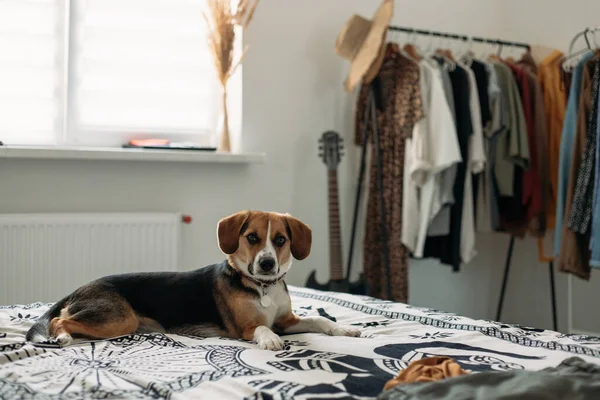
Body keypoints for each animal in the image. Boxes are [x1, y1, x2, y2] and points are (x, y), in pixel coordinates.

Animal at [27, 211, 360, 348]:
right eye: (252, 238)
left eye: (280, 240)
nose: (266, 264)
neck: (261, 287)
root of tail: (79, 289)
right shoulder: (246, 327)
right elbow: (262, 328)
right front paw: (270, 340)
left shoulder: (287, 320)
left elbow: (320, 320)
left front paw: (343, 329)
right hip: (119, 319)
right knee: (58, 320)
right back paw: (63, 337)